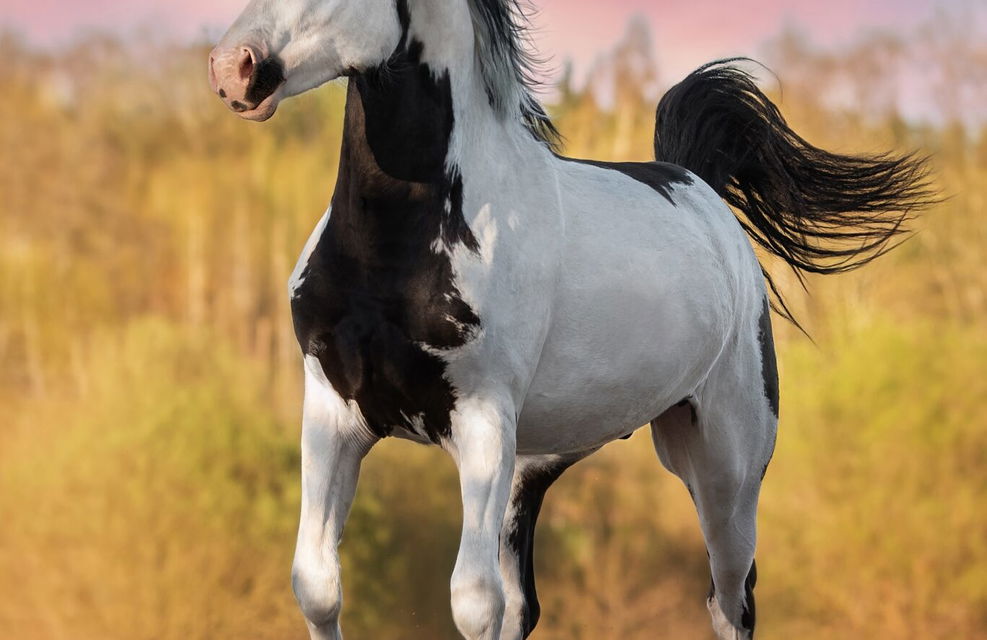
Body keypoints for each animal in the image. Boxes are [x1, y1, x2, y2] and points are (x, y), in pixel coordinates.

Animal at [209, 1, 932, 638]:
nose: (232, 67)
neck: (394, 247)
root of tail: (701, 189)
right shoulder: (334, 413)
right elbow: (319, 587)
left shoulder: (479, 419)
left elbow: (472, 603)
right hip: (528, 471)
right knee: (525, 605)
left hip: (725, 468)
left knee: (732, 598)